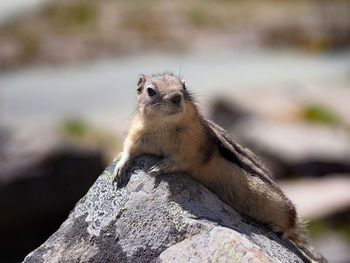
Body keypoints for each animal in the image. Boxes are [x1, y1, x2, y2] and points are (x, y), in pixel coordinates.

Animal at [113, 72, 326, 263]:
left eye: (184, 85)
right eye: (150, 91)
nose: (176, 97)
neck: (164, 126)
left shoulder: (194, 148)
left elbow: (181, 161)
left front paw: (160, 166)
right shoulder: (136, 135)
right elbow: (128, 150)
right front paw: (120, 169)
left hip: (280, 205)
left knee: (293, 220)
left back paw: (279, 228)